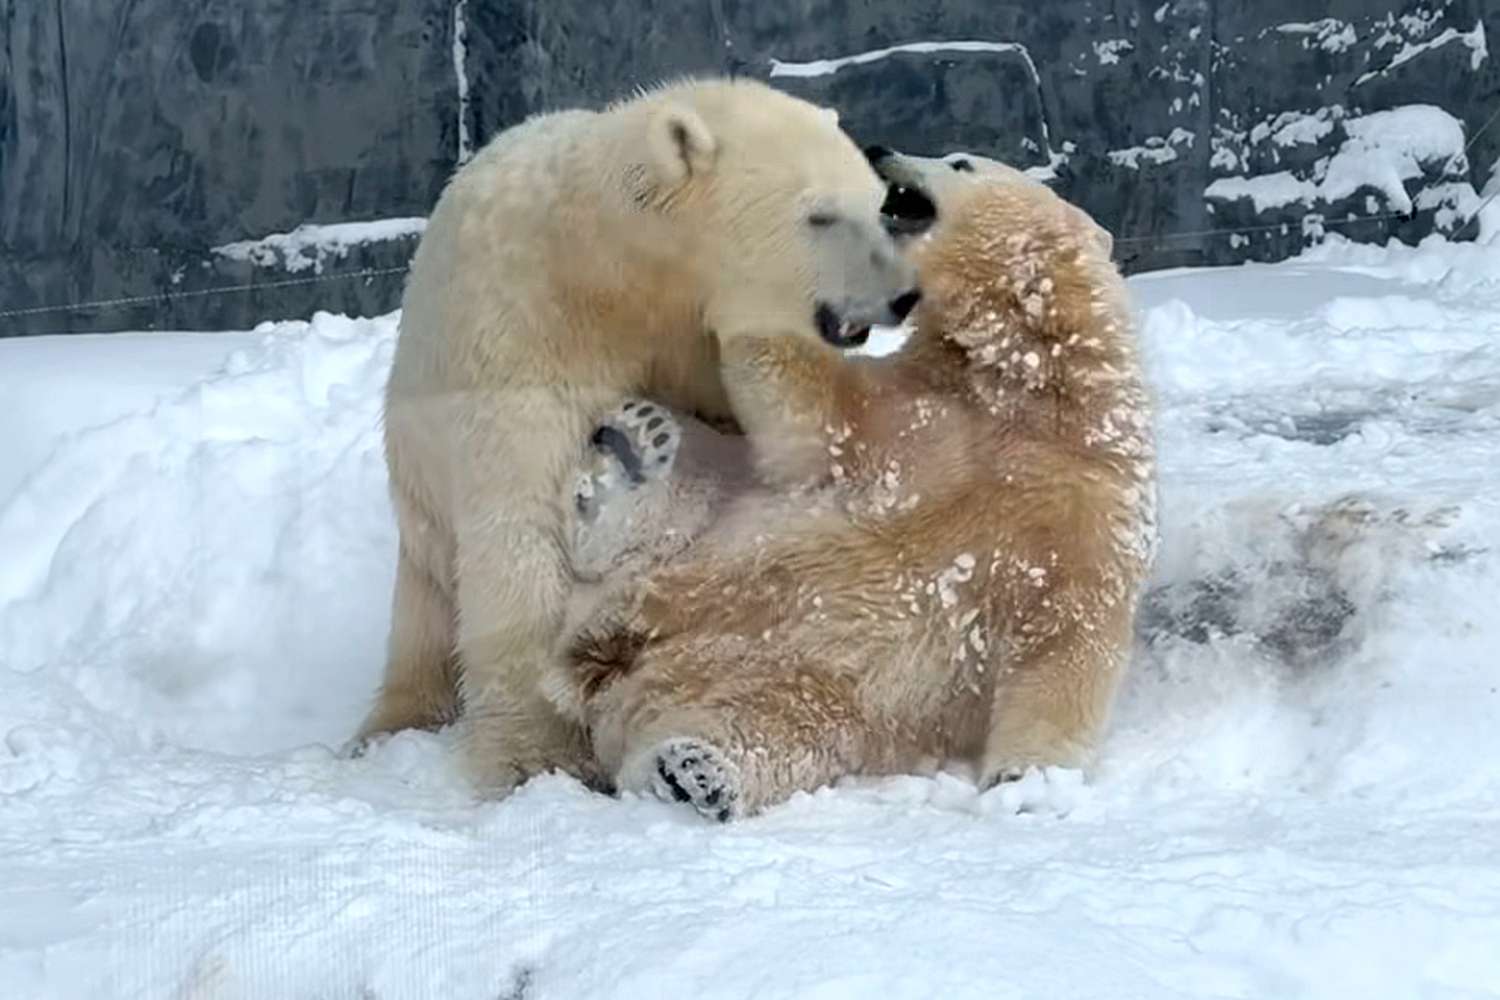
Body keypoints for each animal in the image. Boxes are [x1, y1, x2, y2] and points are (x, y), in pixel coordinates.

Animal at [354, 76, 920, 796]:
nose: (903, 296)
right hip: (420, 493)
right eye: (819, 215)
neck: (614, 272)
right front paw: (536, 758)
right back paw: (391, 726)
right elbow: (520, 529)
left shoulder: (692, 353)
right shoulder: (525, 339)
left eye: (878, 206)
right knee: (424, 618)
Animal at [559, 145, 1157, 820]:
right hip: (692, 565)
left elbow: (1069, 640)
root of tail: (611, 663)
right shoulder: (913, 413)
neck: (1028, 389)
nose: (880, 150)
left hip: (804, 690)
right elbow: (816, 408)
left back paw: (695, 771)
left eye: (960, 160)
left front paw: (1023, 786)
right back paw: (628, 461)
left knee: (760, 732)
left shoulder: (1092, 499)